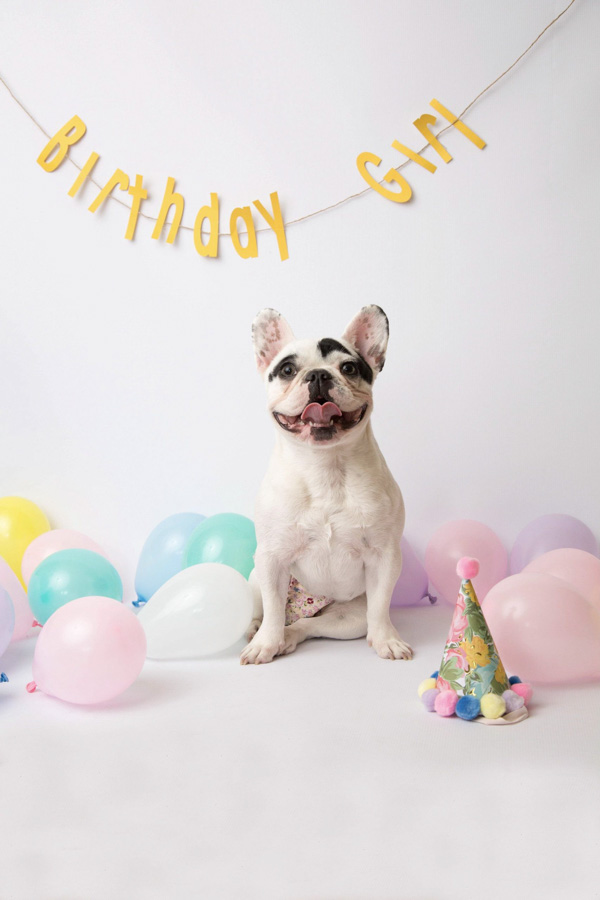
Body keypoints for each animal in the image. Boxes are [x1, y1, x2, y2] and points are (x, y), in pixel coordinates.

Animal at [239, 306, 412, 664]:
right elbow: (273, 610)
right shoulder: (271, 559)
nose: (318, 375)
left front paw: (387, 640)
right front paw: (264, 644)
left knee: (308, 625)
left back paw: (289, 638)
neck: (325, 465)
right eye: (287, 370)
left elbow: (380, 608)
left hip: (349, 618)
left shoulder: (385, 556)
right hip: (255, 577)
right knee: (268, 610)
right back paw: (258, 631)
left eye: (348, 367)